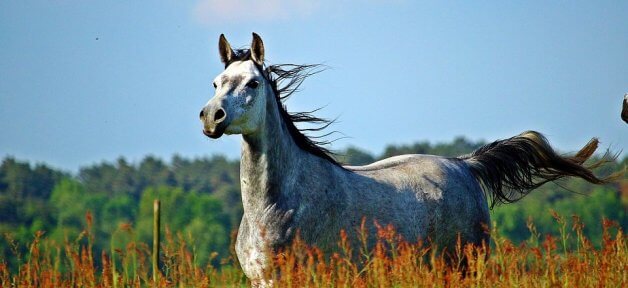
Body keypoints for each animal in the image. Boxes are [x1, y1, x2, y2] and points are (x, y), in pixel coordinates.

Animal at [199, 32, 612, 282]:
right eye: (216, 83)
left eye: (253, 82)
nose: (211, 117)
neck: (276, 205)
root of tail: (464, 165)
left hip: (463, 265)